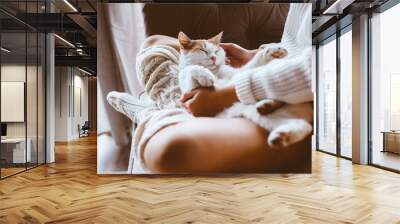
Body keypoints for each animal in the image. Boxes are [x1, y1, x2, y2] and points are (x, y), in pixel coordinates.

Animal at [177, 31, 312, 147]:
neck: (215, 72)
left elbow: (251, 66)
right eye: (202, 50)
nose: (213, 58)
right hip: (255, 114)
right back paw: (279, 133)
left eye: (216, 50)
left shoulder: (238, 74)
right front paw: (205, 75)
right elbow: (192, 68)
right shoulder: (189, 88)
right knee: (303, 126)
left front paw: (270, 52)